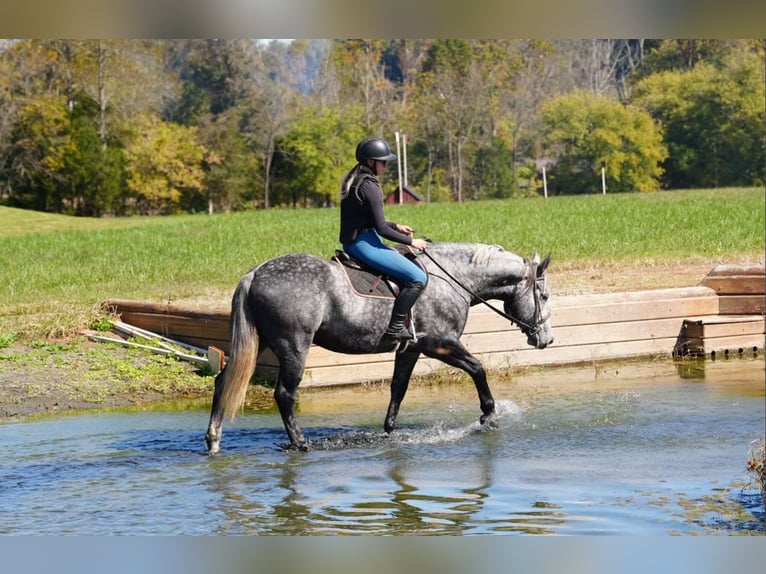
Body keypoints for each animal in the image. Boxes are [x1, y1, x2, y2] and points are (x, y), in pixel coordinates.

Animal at [205, 242, 553, 454]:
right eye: (545, 296)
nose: (547, 340)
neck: (453, 279)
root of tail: (254, 274)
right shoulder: (440, 344)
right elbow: (478, 368)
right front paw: (489, 415)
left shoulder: (410, 349)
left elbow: (398, 388)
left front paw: (389, 432)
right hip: (294, 347)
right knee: (285, 395)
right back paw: (300, 443)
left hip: (262, 343)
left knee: (222, 382)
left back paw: (213, 440)